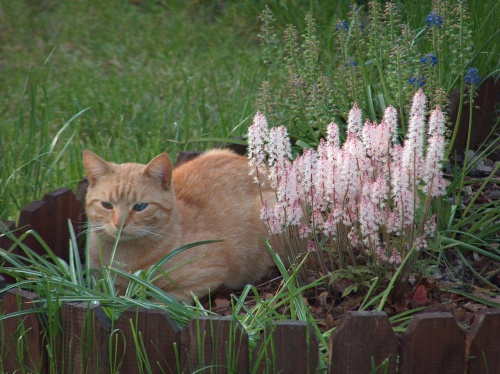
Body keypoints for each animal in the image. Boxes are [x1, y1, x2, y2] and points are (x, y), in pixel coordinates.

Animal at [83, 148, 276, 300]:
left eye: (140, 207)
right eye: (107, 205)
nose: (119, 223)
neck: (122, 259)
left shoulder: (205, 277)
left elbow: (162, 301)